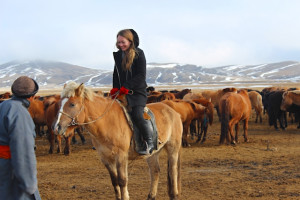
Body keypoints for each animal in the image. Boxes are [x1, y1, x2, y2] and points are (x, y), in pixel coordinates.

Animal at [53, 81, 183, 200]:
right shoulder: (106, 158)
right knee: (155, 171)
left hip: (173, 148)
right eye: (60, 104)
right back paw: (151, 196)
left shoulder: (121, 156)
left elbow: (122, 181)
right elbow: (114, 181)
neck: (107, 122)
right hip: (153, 153)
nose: (57, 127)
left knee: (173, 171)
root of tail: (173, 112)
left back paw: (174, 195)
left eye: (72, 104)